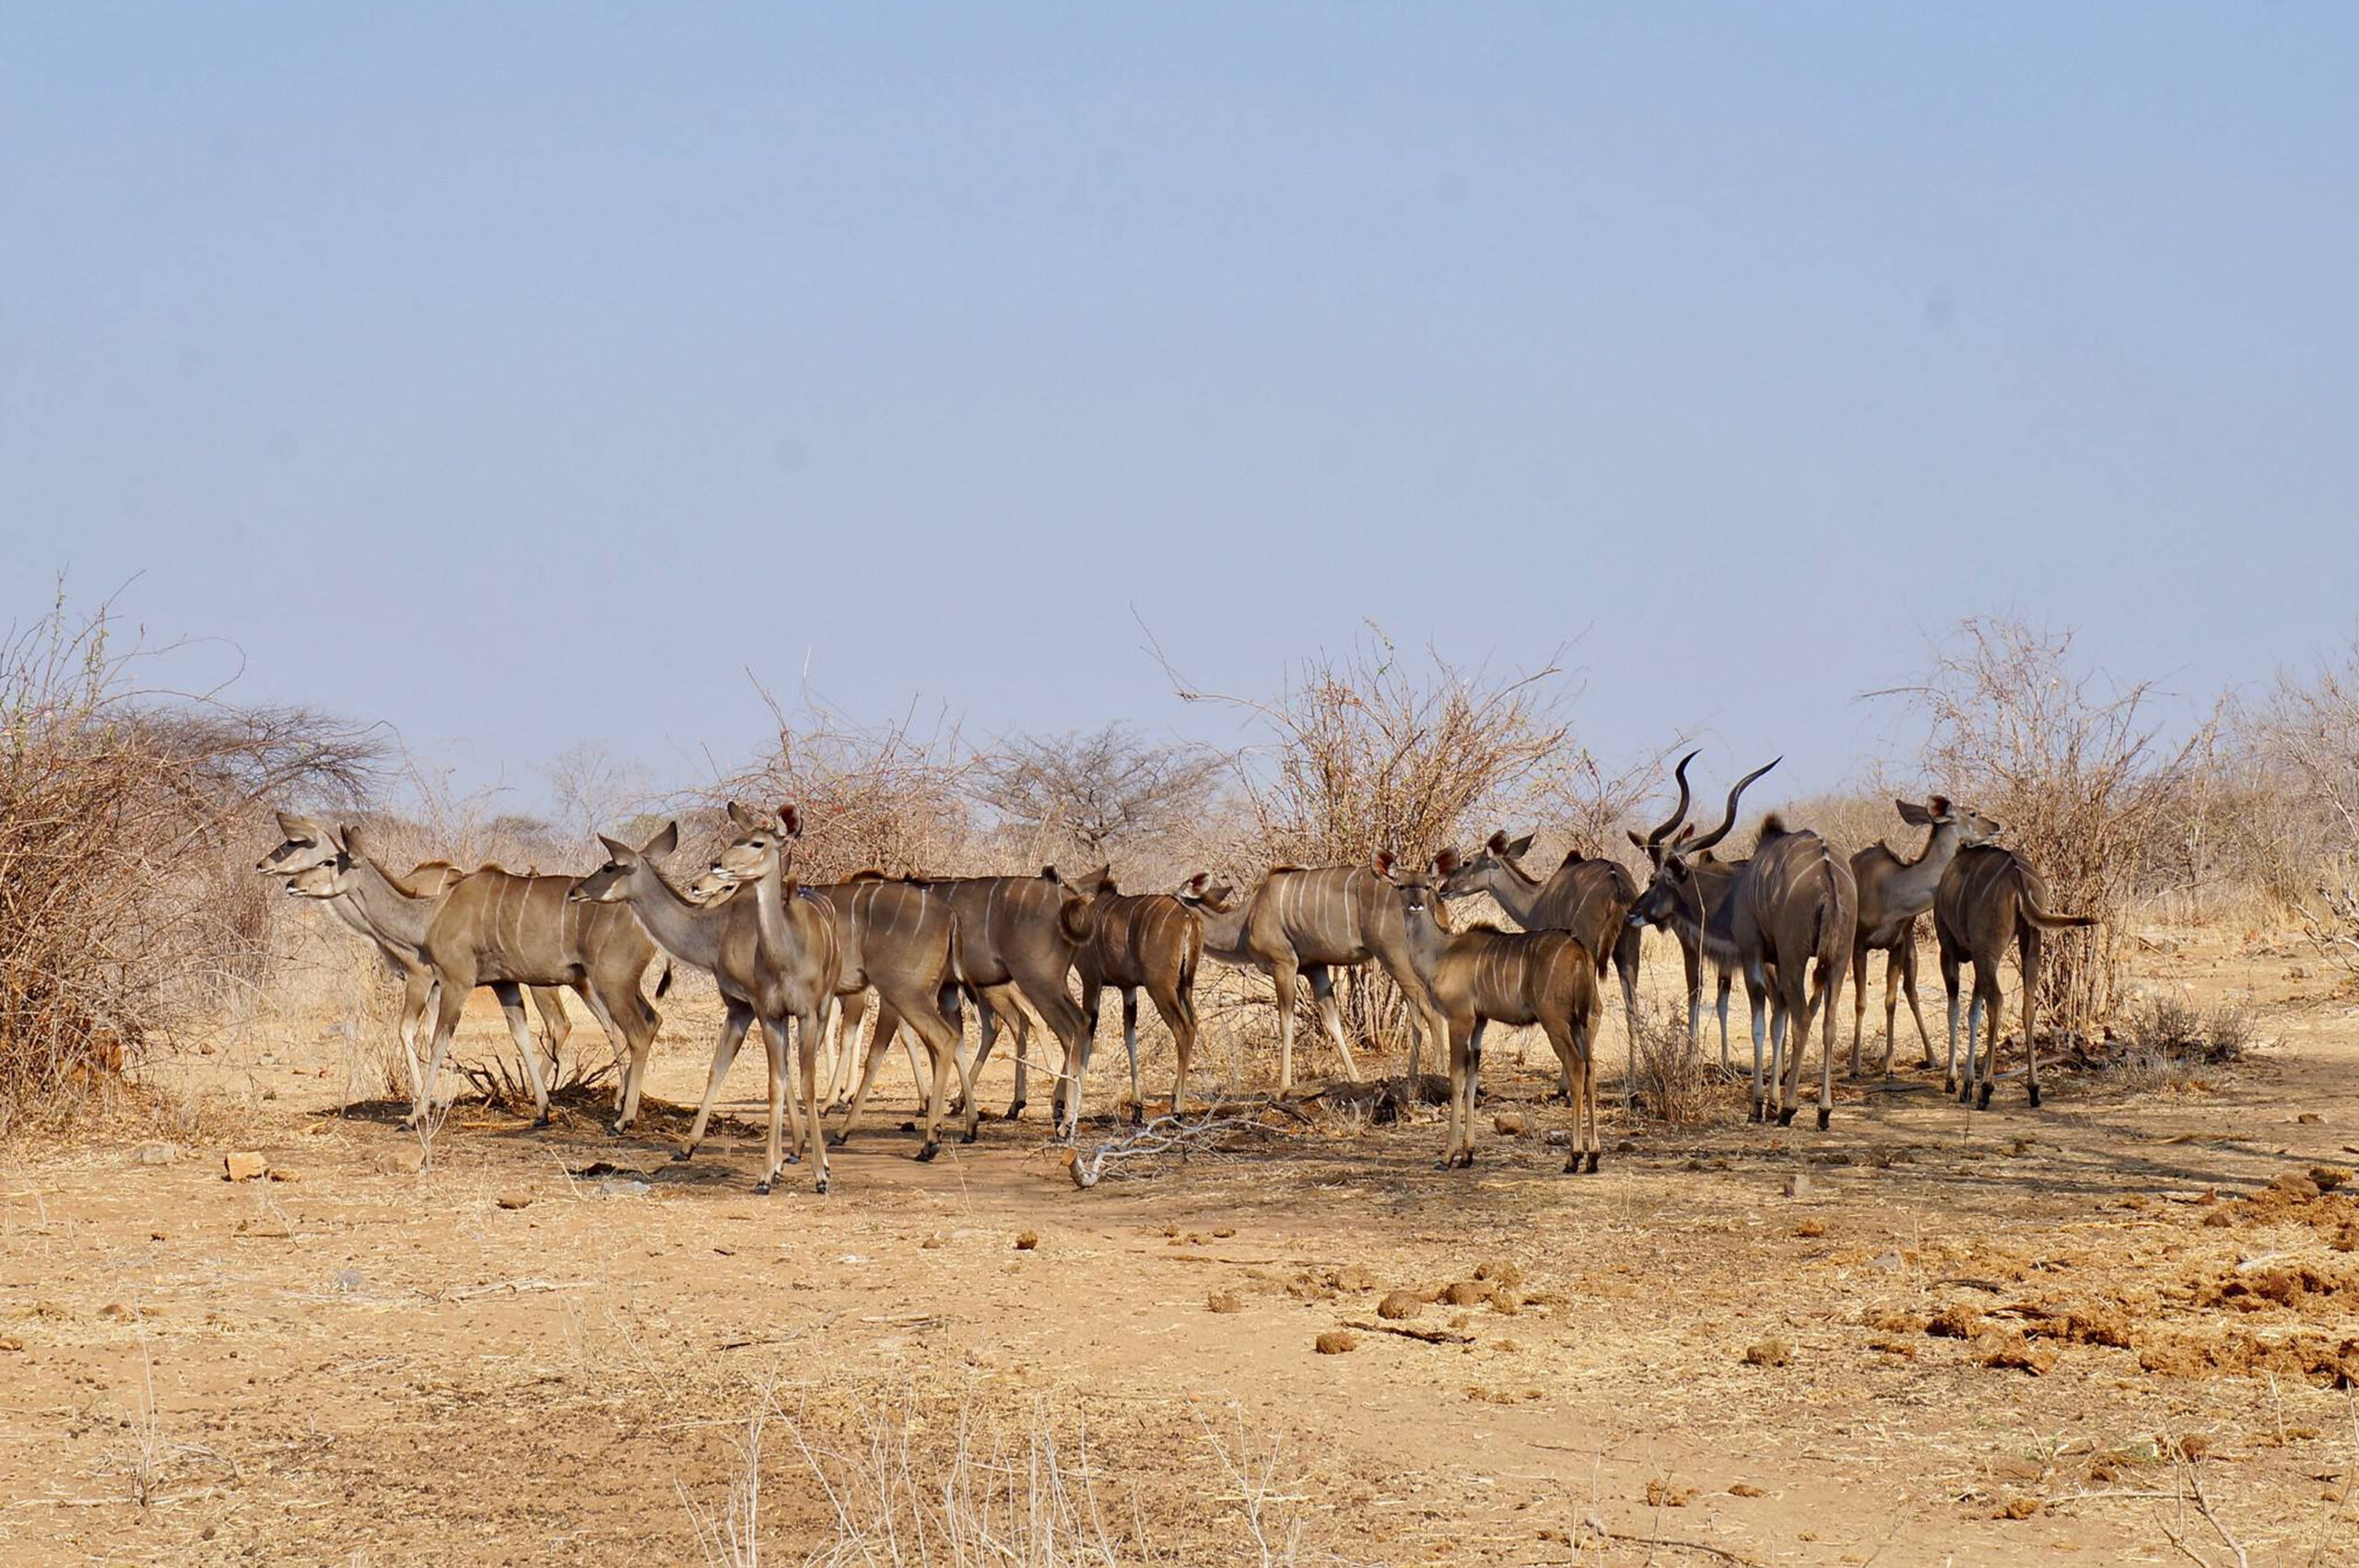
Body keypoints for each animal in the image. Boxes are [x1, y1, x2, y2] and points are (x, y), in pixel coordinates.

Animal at [566, 811, 844, 1193]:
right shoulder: (747, 1008)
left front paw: (799, 1163)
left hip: (822, 1005)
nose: (574, 891)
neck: (717, 932)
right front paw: (692, 1147)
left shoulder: (751, 1006)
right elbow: (725, 1069)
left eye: (609, 866)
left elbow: (781, 1075)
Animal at [1047, 862, 1207, 1117]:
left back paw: (1178, 1108)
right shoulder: (1128, 987)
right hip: (1185, 986)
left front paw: (1065, 1104)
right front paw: (1137, 1109)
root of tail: (1188, 919)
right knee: (1194, 1022)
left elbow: (1085, 1030)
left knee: (1183, 1028)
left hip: (1160, 987)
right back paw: (1174, 1099)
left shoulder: (1091, 980)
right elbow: (1129, 1035)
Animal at [1378, 848, 1603, 1169]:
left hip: (1555, 1021)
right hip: (1583, 1020)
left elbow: (1457, 1080)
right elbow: (1473, 1079)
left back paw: (1574, 1157)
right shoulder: (1480, 1022)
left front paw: (1448, 1155)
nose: (1415, 904)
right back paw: (1593, 1156)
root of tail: (1580, 952)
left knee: (1576, 1065)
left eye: (1426, 885)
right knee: (1591, 1068)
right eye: (1400, 886)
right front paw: (1467, 1154)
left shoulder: (1459, 1018)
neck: (1441, 952)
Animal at [1849, 797, 2000, 1075]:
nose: (1996, 826)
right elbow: (1861, 1002)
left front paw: (1889, 1065)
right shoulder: (1858, 946)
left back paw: (1931, 1058)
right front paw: (1855, 1066)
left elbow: (1891, 1000)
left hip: (1911, 950)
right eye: (1972, 813)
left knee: (1911, 992)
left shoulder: (1897, 944)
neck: (1890, 893)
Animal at [1934, 839, 2104, 1107]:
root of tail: (2018, 877)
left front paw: (1955, 1083)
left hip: (1987, 952)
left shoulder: (1949, 950)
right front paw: (1966, 1085)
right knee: (2027, 1005)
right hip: (2029, 944)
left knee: (1997, 1002)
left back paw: (1986, 1089)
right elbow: (1973, 1012)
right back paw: (2034, 1090)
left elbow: (1956, 1010)